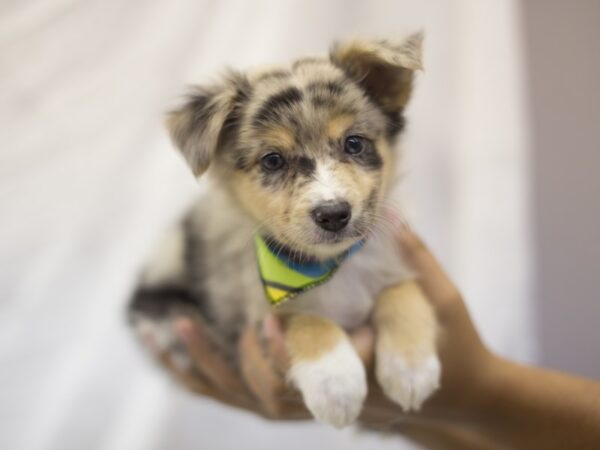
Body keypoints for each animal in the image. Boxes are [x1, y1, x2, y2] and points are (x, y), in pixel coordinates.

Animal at [129, 33, 440, 428]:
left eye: (354, 143)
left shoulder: (390, 257)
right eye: (273, 160)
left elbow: (402, 291)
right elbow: (304, 319)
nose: (333, 214)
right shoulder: (255, 312)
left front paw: (410, 367)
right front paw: (335, 383)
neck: (327, 265)